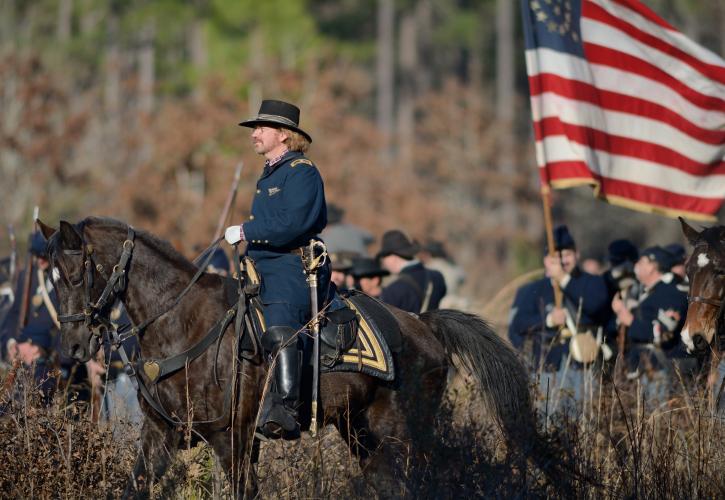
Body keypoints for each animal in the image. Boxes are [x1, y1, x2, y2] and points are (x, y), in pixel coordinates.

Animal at [39, 217, 536, 498]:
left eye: (77, 271)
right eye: (51, 275)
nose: (74, 347)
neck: (181, 324)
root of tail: (424, 325)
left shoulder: (233, 439)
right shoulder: (161, 434)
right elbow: (135, 486)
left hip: (399, 432)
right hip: (362, 433)